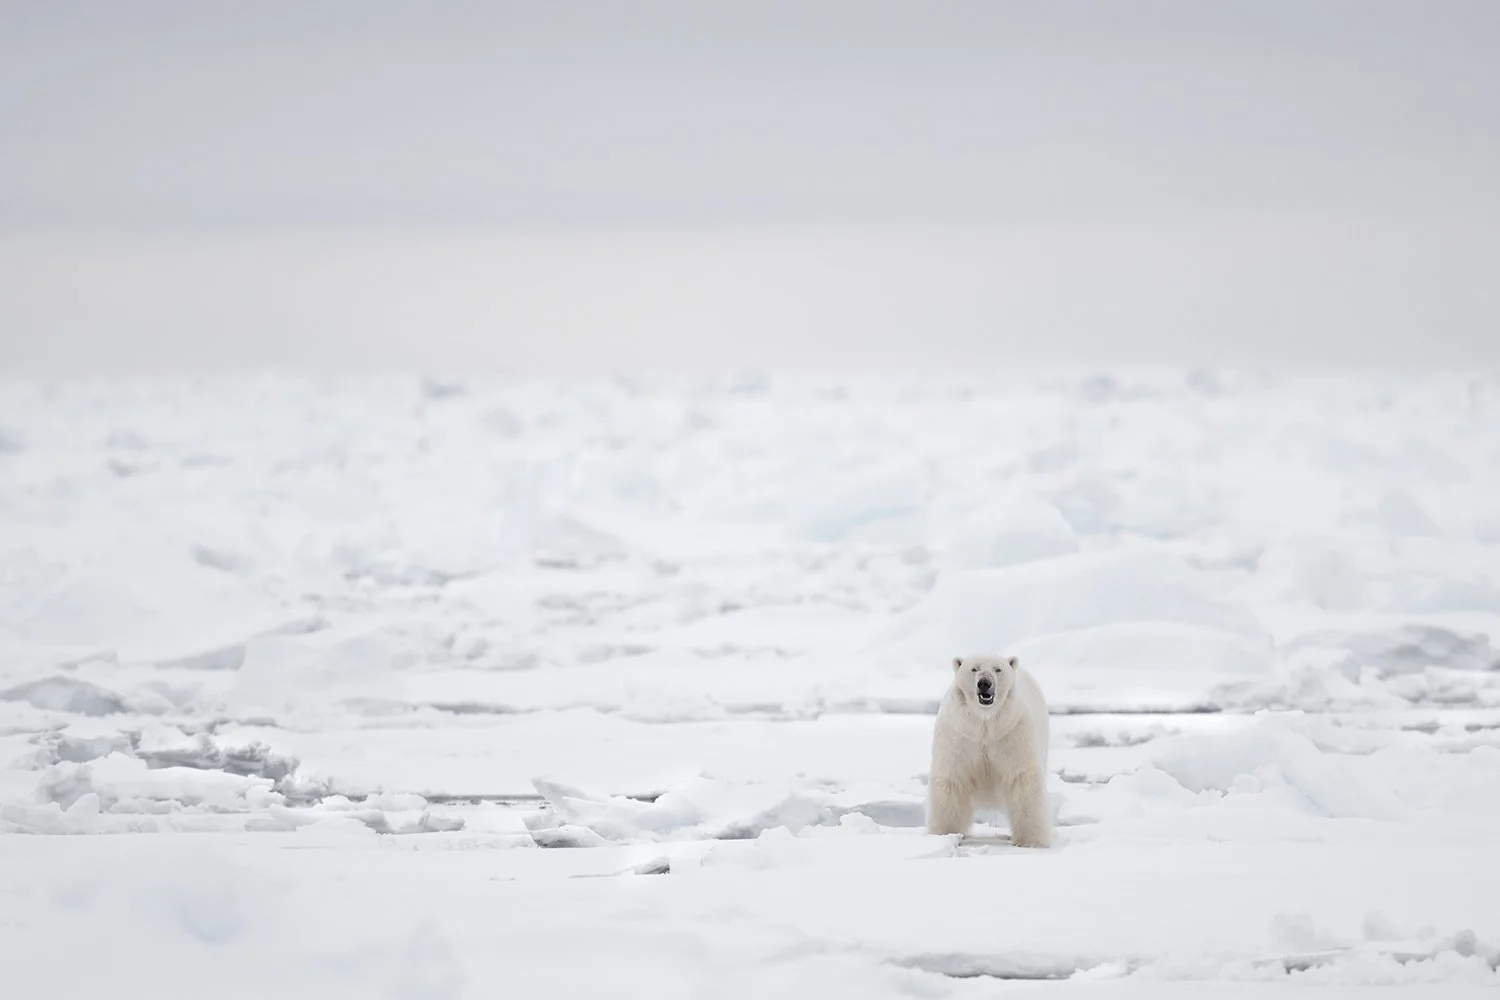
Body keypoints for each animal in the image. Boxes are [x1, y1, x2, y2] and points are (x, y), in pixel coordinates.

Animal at [926, 654, 1052, 848]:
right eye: (974, 669)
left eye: (997, 669)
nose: (984, 683)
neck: (984, 723)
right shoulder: (959, 735)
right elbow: (952, 779)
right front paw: (944, 834)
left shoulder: (1012, 732)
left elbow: (1022, 778)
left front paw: (1031, 841)